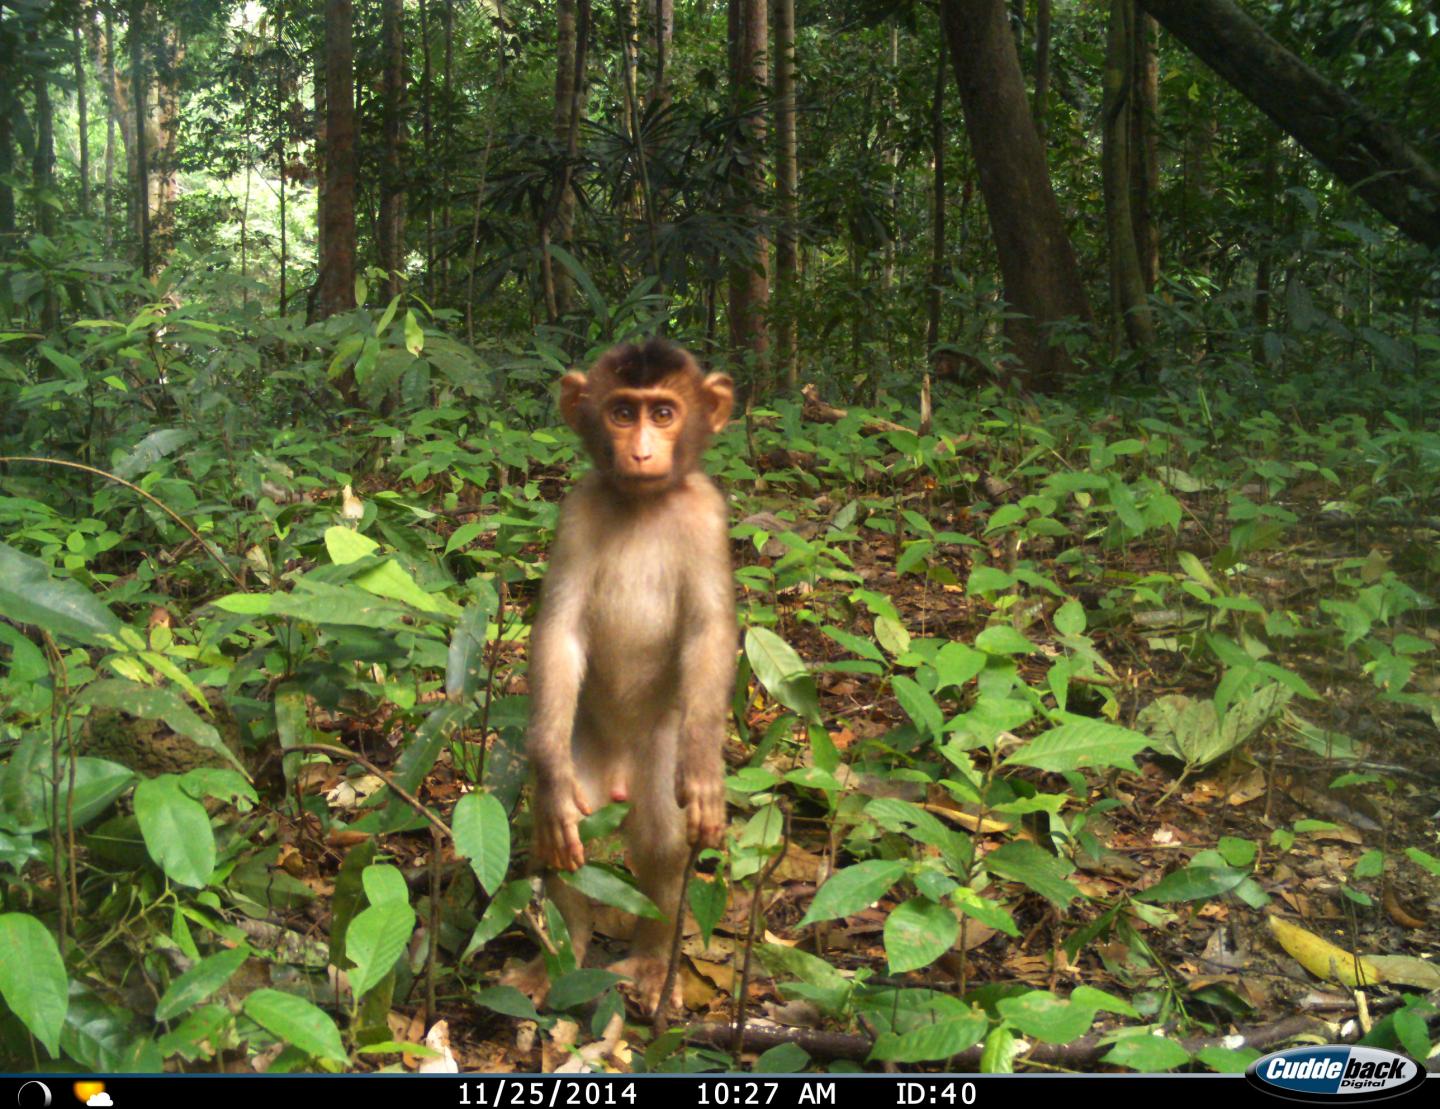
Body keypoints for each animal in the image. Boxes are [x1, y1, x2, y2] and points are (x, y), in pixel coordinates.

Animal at [504, 338, 737, 1011]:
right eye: (621, 413)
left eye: (662, 413)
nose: (640, 451)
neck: (643, 502)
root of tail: (618, 780)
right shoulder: (577, 510)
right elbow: (558, 632)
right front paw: (547, 770)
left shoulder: (708, 515)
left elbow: (710, 633)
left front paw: (706, 769)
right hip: (585, 748)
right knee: (566, 834)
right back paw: (560, 958)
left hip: (659, 753)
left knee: (660, 837)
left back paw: (655, 963)